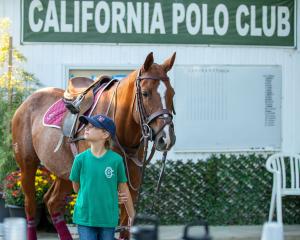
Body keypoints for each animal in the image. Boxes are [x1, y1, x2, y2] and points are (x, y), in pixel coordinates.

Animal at [11, 51, 176, 239]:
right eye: (146, 93)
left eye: (172, 93)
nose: (166, 138)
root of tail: (25, 104)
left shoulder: (130, 186)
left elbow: (125, 226)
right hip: (27, 165)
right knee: (30, 205)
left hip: (65, 171)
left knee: (53, 202)